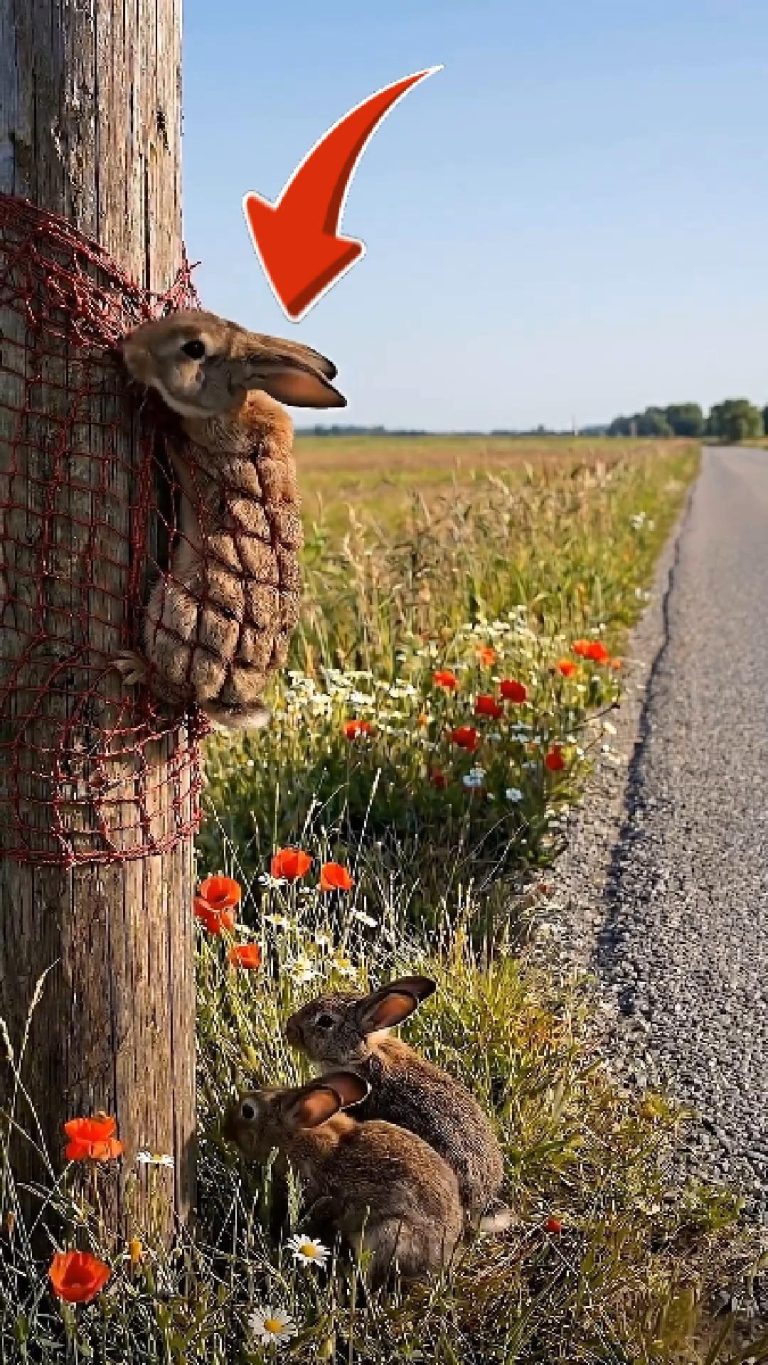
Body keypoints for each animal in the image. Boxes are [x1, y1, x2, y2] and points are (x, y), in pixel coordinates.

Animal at [116, 309, 345, 729]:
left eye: (194, 348)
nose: (129, 348)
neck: (232, 401)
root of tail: (223, 701)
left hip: (177, 608)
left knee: (176, 687)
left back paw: (133, 665)